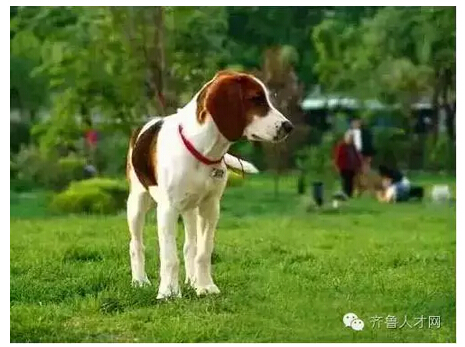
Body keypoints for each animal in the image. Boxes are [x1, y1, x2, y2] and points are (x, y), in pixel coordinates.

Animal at [126, 70, 294, 300]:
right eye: (256, 99)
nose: (289, 127)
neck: (202, 150)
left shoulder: (210, 207)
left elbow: (203, 253)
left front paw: (205, 287)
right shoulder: (167, 209)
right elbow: (169, 257)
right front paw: (169, 292)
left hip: (190, 210)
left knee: (190, 246)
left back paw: (191, 281)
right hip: (137, 204)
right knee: (136, 244)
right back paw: (140, 281)